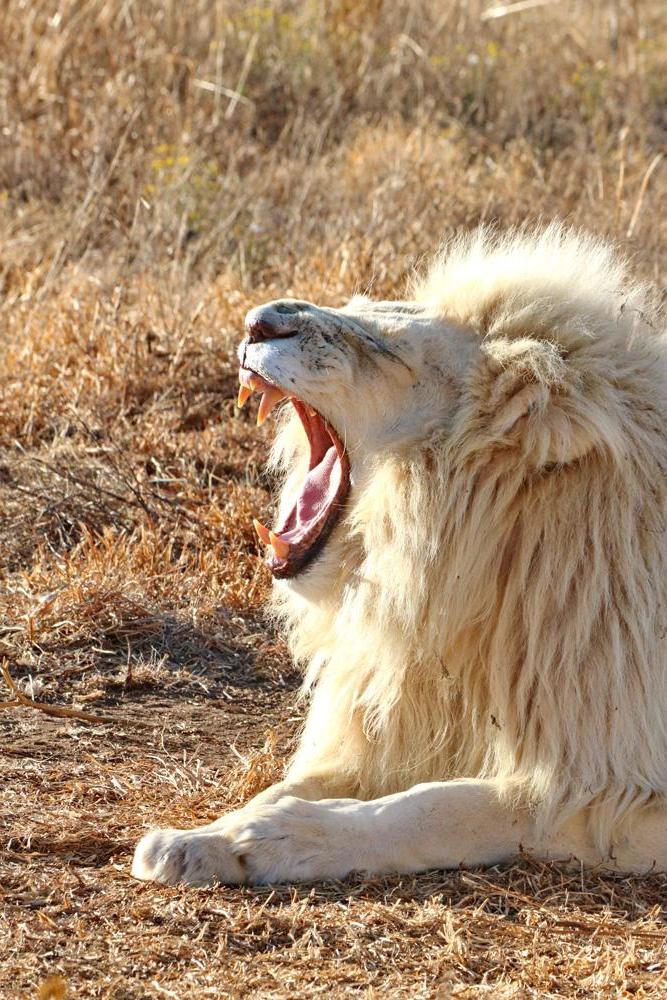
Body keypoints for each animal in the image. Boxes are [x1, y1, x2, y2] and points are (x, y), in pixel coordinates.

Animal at [133, 224, 667, 886]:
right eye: (364, 306)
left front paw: (279, 837)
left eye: (384, 346)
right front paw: (208, 836)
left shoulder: (611, 787)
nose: (258, 322)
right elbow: (294, 784)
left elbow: (444, 807)